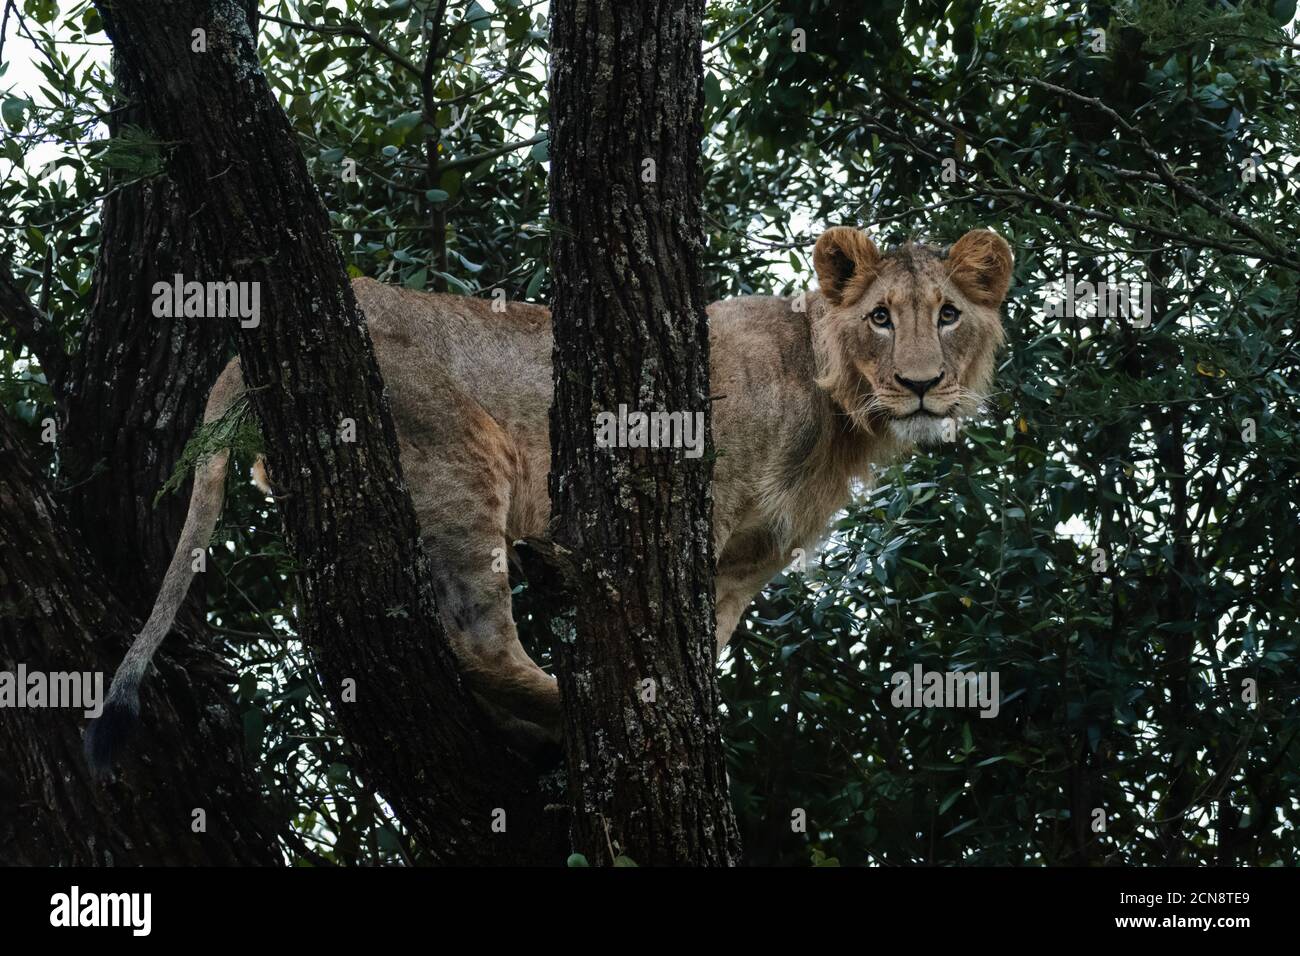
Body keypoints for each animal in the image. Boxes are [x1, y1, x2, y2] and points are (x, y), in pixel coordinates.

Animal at [87, 227, 1013, 767]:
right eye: (883, 317)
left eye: (949, 315)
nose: (922, 385)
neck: (839, 411)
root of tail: (241, 358)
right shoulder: (688, 488)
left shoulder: (746, 565)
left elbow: (706, 641)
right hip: (467, 453)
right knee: (477, 643)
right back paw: (562, 710)